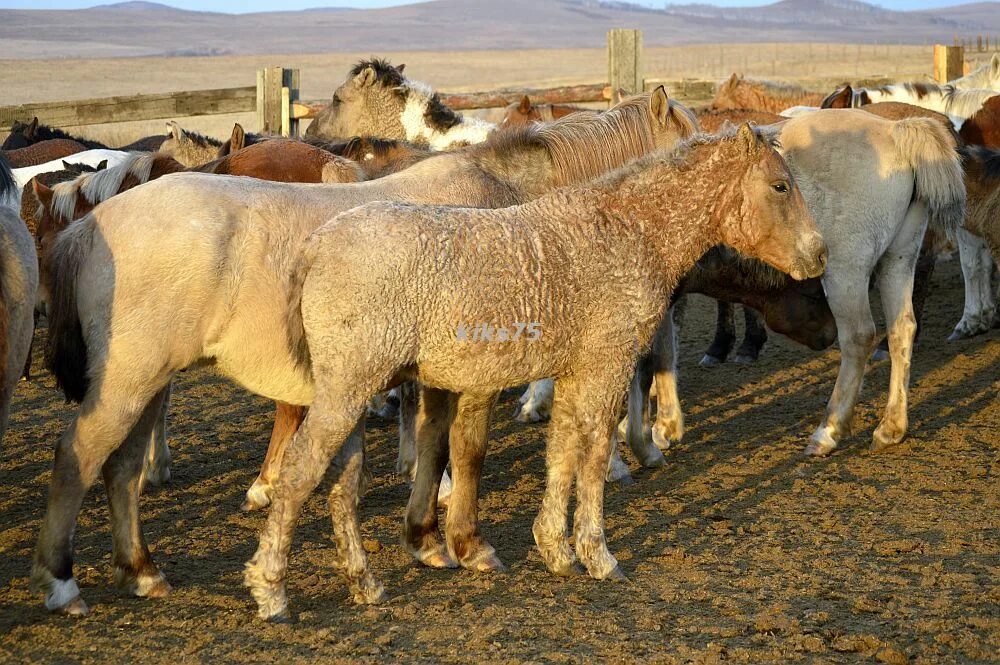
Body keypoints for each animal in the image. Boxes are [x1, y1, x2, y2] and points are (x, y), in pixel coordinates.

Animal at [31, 89, 704, 616]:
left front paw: (426, 538)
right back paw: (62, 583)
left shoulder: (437, 374)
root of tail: (88, 224)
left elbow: (433, 444)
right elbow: (467, 451)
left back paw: (142, 571)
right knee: (77, 456)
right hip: (127, 385)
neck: (513, 213)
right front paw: (469, 542)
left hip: (149, 385)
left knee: (121, 470)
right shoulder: (476, 375)